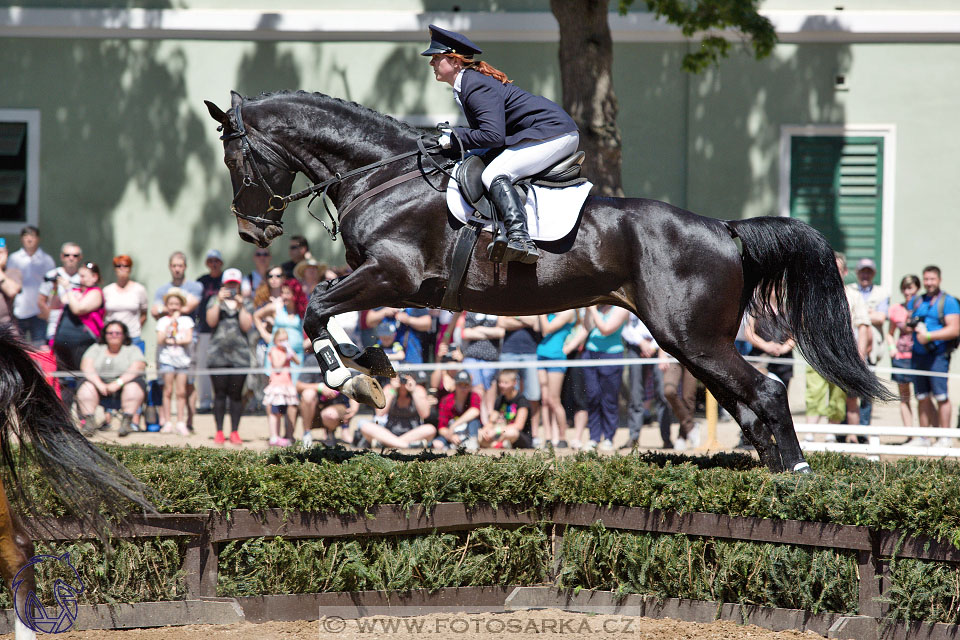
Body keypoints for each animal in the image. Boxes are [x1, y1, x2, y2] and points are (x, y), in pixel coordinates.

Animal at [204, 90, 892, 472]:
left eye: (237, 158)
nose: (252, 232)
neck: (384, 173)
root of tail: (725, 229)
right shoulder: (384, 281)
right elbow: (330, 311)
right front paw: (370, 366)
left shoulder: (392, 275)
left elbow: (315, 307)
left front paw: (350, 378)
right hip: (690, 343)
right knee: (748, 405)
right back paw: (776, 475)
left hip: (691, 338)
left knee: (768, 393)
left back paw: (797, 479)